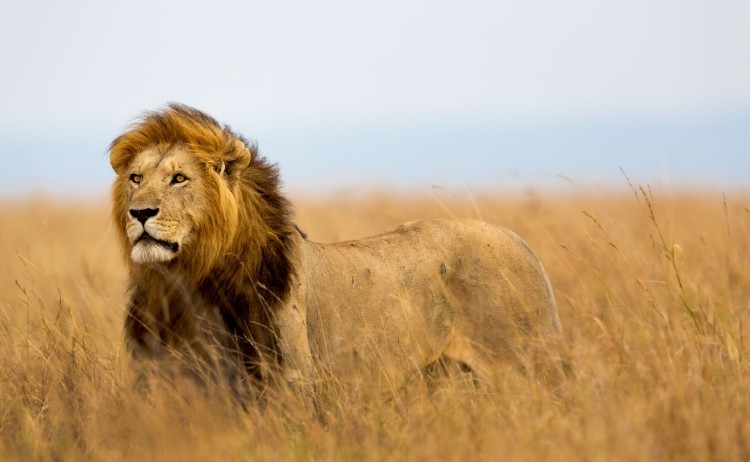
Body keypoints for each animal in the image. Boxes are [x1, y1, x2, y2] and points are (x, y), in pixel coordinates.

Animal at [110, 104, 563, 399]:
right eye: (136, 178)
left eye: (179, 179)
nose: (140, 212)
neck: (186, 281)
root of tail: (522, 243)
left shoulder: (291, 380)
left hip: (526, 366)